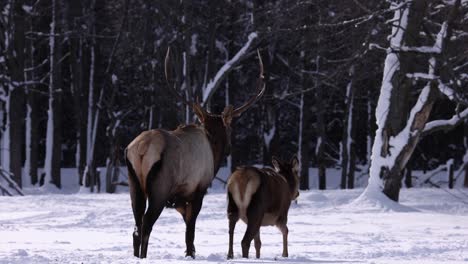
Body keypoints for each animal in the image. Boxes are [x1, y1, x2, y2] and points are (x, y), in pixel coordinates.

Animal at [124, 49, 266, 258]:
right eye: (229, 129)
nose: (230, 147)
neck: (213, 151)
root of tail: (141, 149)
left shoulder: (179, 199)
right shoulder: (198, 190)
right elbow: (190, 232)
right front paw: (190, 254)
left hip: (134, 184)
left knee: (136, 226)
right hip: (160, 187)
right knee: (146, 224)